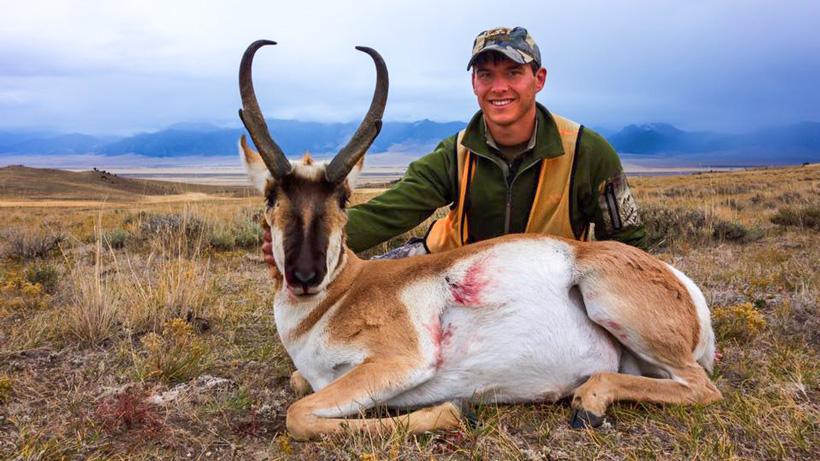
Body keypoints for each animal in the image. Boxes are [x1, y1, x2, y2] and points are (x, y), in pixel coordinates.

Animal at [238, 40, 722, 441]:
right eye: (271, 196)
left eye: (342, 197)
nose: (304, 275)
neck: (344, 291)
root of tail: (680, 284)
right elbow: (298, 385)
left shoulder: (399, 362)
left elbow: (299, 415)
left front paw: (453, 411)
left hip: (605, 297)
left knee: (702, 388)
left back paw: (588, 402)